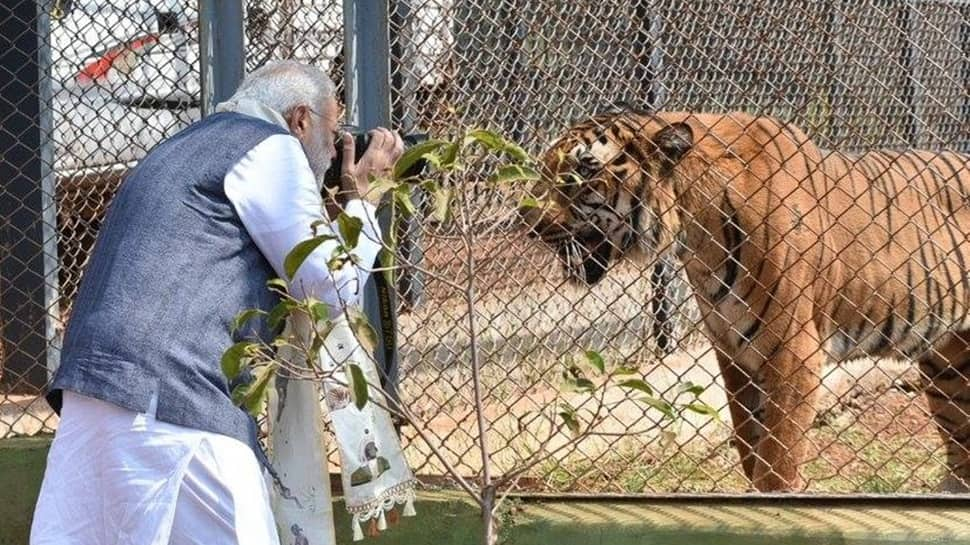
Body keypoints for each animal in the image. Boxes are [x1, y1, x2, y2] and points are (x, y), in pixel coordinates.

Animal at [520, 108, 968, 490]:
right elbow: (749, 443)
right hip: (948, 365)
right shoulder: (734, 353)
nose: (526, 221)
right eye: (545, 167)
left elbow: (777, 461)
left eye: (581, 171)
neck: (695, 237)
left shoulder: (794, 354)